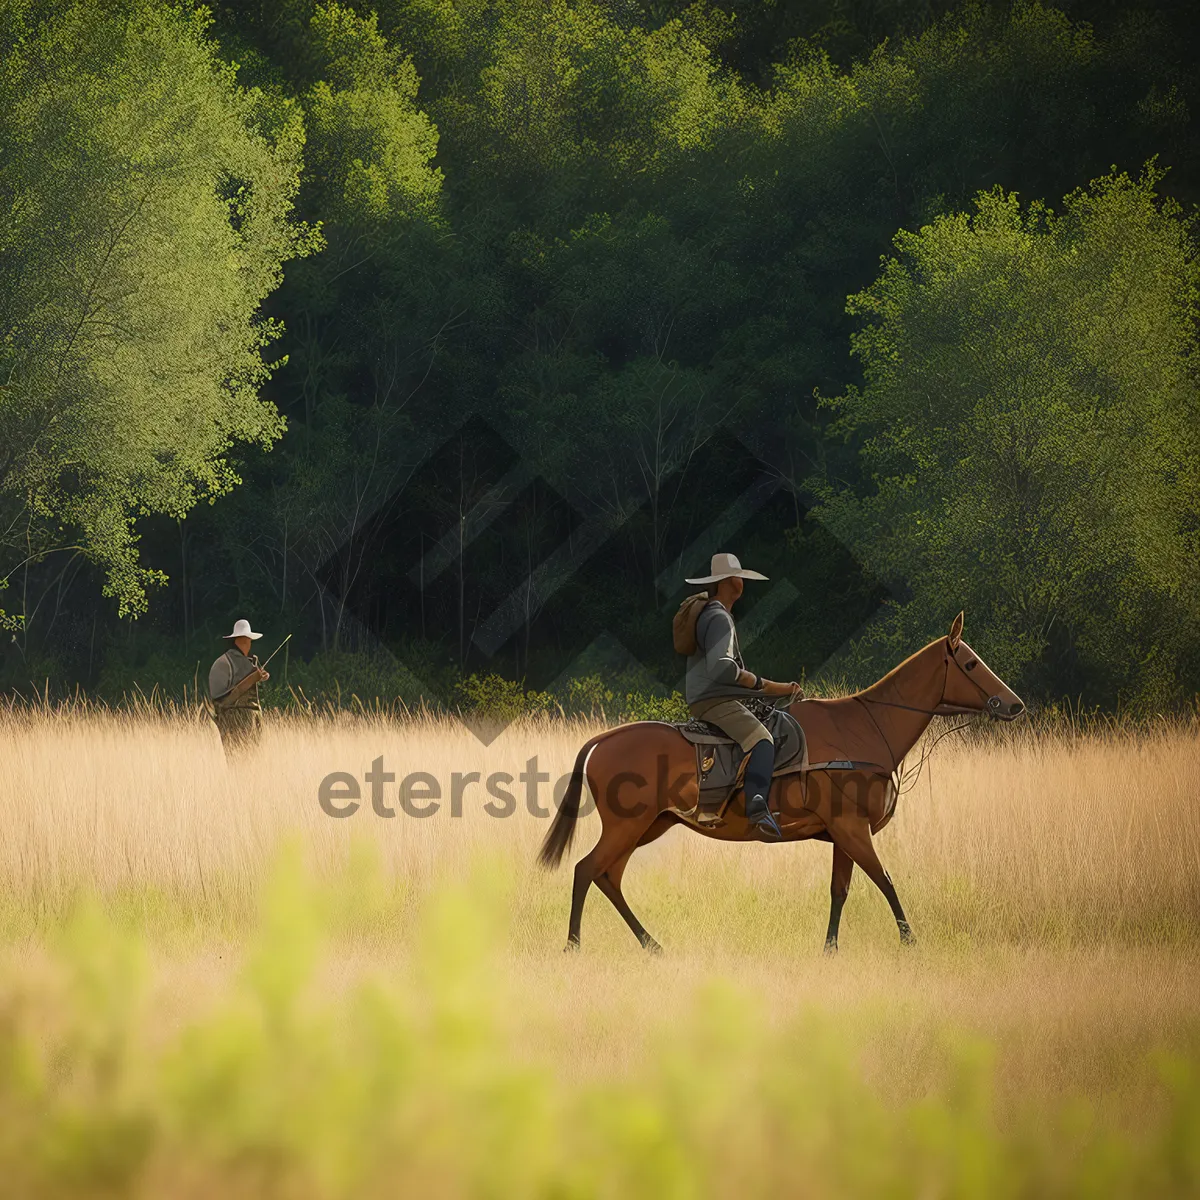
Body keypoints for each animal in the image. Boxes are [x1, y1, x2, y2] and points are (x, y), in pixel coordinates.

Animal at [542, 614, 1022, 950]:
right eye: (971, 663)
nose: (1013, 704)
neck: (866, 729)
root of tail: (605, 739)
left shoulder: (843, 834)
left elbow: (840, 890)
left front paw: (830, 950)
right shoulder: (853, 829)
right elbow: (884, 880)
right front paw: (910, 942)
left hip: (649, 824)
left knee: (608, 878)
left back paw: (651, 945)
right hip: (628, 825)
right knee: (588, 870)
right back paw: (574, 946)